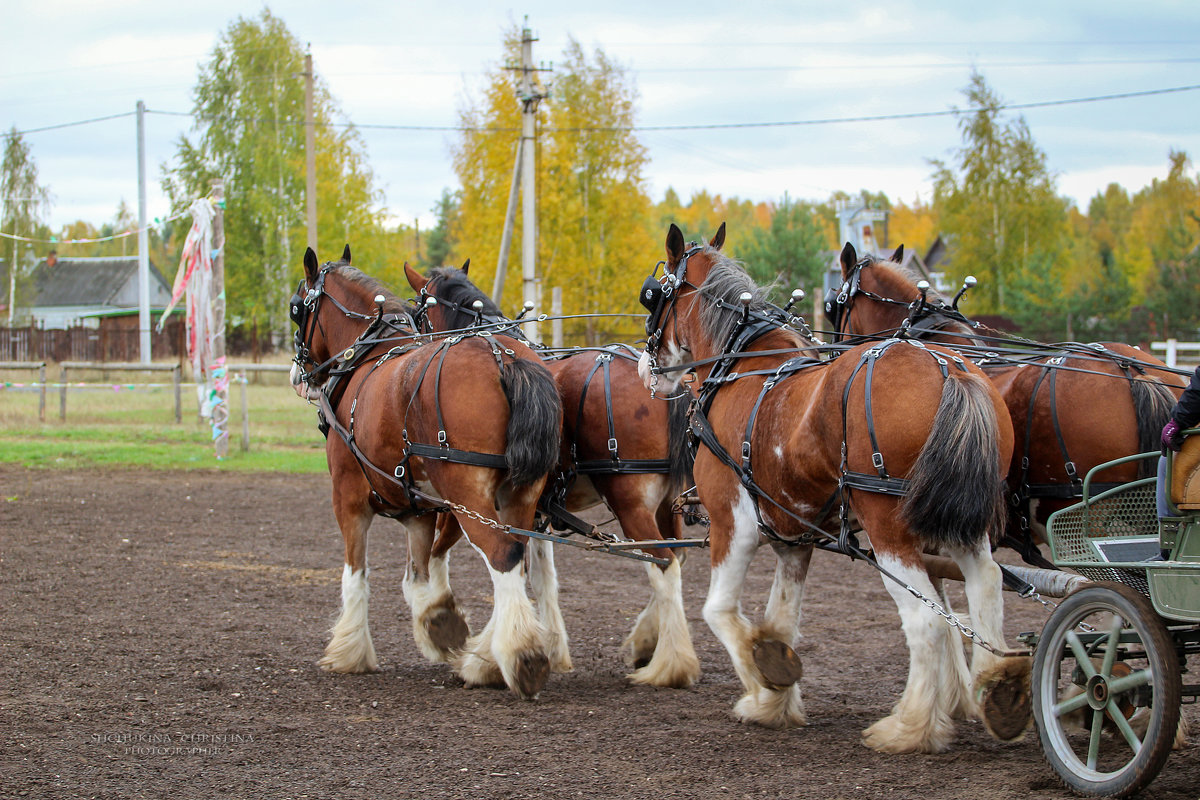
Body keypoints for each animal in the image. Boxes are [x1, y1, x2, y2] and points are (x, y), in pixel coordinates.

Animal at [289, 247, 561, 695]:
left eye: (297, 308)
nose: (298, 373)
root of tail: (503, 357)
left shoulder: (347, 499)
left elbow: (356, 576)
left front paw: (349, 651)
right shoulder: (419, 511)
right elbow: (419, 577)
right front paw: (440, 623)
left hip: (468, 494)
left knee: (502, 554)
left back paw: (520, 657)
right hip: (520, 496)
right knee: (518, 556)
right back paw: (495, 656)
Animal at [405, 262, 700, 690]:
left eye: (418, 313)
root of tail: (669, 385)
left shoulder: (472, 501)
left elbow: (469, 557)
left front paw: (471, 647)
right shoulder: (534, 508)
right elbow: (540, 574)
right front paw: (550, 645)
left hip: (630, 502)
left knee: (663, 563)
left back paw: (670, 664)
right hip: (665, 501)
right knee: (676, 555)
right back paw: (648, 643)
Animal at [633, 225, 1027, 758]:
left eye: (653, 296)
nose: (645, 367)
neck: (739, 366)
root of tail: (951, 370)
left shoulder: (732, 522)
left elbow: (718, 611)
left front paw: (762, 680)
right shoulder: (792, 538)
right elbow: (781, 621)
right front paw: (774, 696)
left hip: (888, 528)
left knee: (926, 620)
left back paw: (909, 727)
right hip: (960, 523)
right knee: (984, 583)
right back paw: (998, 688)